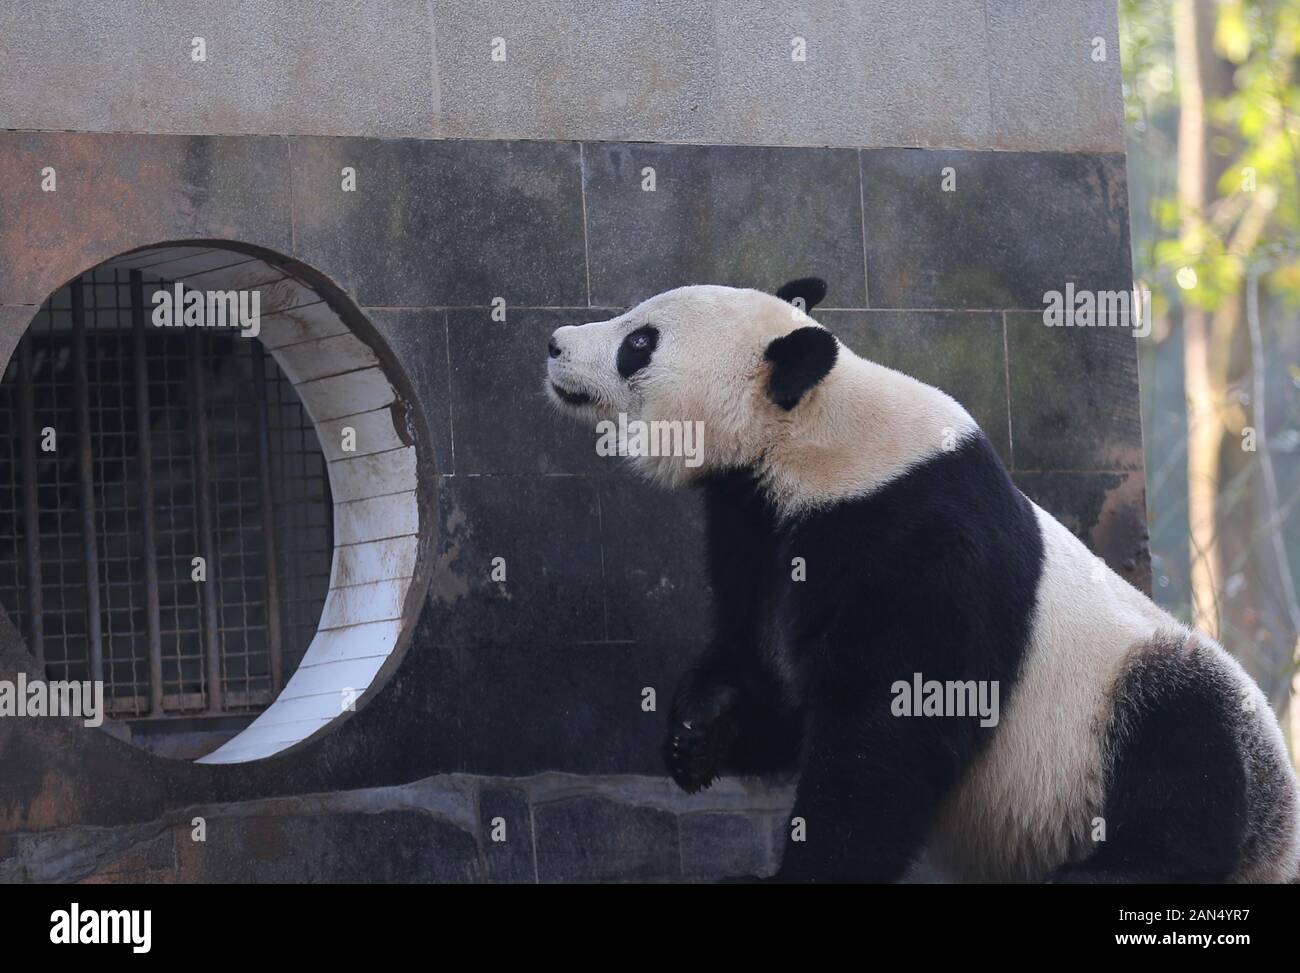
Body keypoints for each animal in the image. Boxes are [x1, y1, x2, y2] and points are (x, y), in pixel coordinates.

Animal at [544, 278, 1300, 883]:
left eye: (639, 341)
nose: (555, 343)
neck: (811, 439)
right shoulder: (755, 525)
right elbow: (764, 662)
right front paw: (698, 733)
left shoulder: (917, 540)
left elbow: (893, 726)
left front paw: (808, 867)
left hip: (1135, 711)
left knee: (1183, 734)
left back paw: (1111, 869)